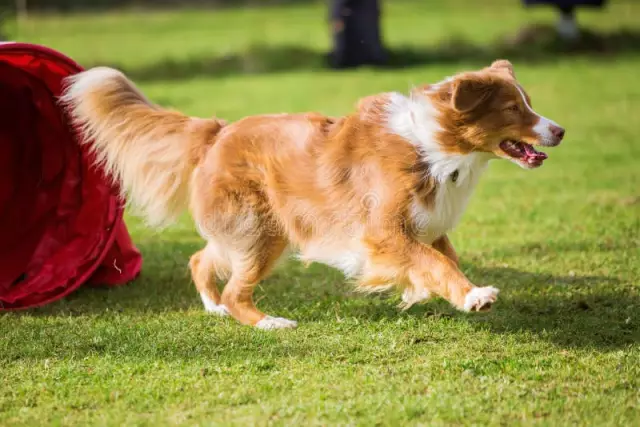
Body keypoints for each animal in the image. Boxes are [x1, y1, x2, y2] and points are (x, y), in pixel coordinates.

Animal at [62, 60, 564, 330]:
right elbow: (434, 263)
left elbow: (443, 260)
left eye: (529, 101)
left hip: (248, 230)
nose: (559, 130)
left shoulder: (429, 225)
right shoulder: (383, 231)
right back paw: (268, 323)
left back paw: (212, 307)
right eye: (513, 108)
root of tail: (217, 132)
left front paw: (451, 292)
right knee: (236, 290)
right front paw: (473, 296)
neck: (435, 147)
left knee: (201, 259)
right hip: (262, 230)